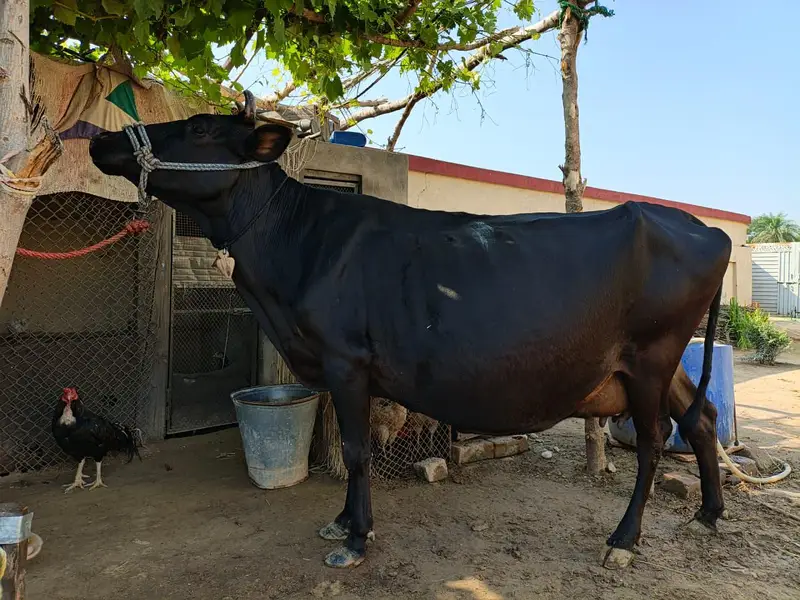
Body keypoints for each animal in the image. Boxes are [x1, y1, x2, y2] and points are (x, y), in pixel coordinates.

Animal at [89, 91, 732, 571]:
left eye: (200, 128)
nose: (101, 138)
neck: (294, 248)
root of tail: (703, 228)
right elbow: (356, 449)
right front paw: (343, 524)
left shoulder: (346, 360)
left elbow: (355, 450)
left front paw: (355, 538)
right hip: (662, 362)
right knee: (700, 416)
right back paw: (710, 514)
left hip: (650, 356)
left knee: (653, 440)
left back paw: (623, 540)